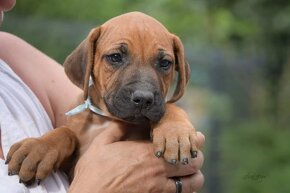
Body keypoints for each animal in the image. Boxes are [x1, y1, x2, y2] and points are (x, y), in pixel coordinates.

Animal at [5, 11, 198, 185]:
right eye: (115, 57)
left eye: (165, 63)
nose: (143, 98)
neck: (105, 119)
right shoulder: (71, 168)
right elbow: (66, 132)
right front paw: (38, 148)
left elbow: (170, 107)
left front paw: (175, 133)